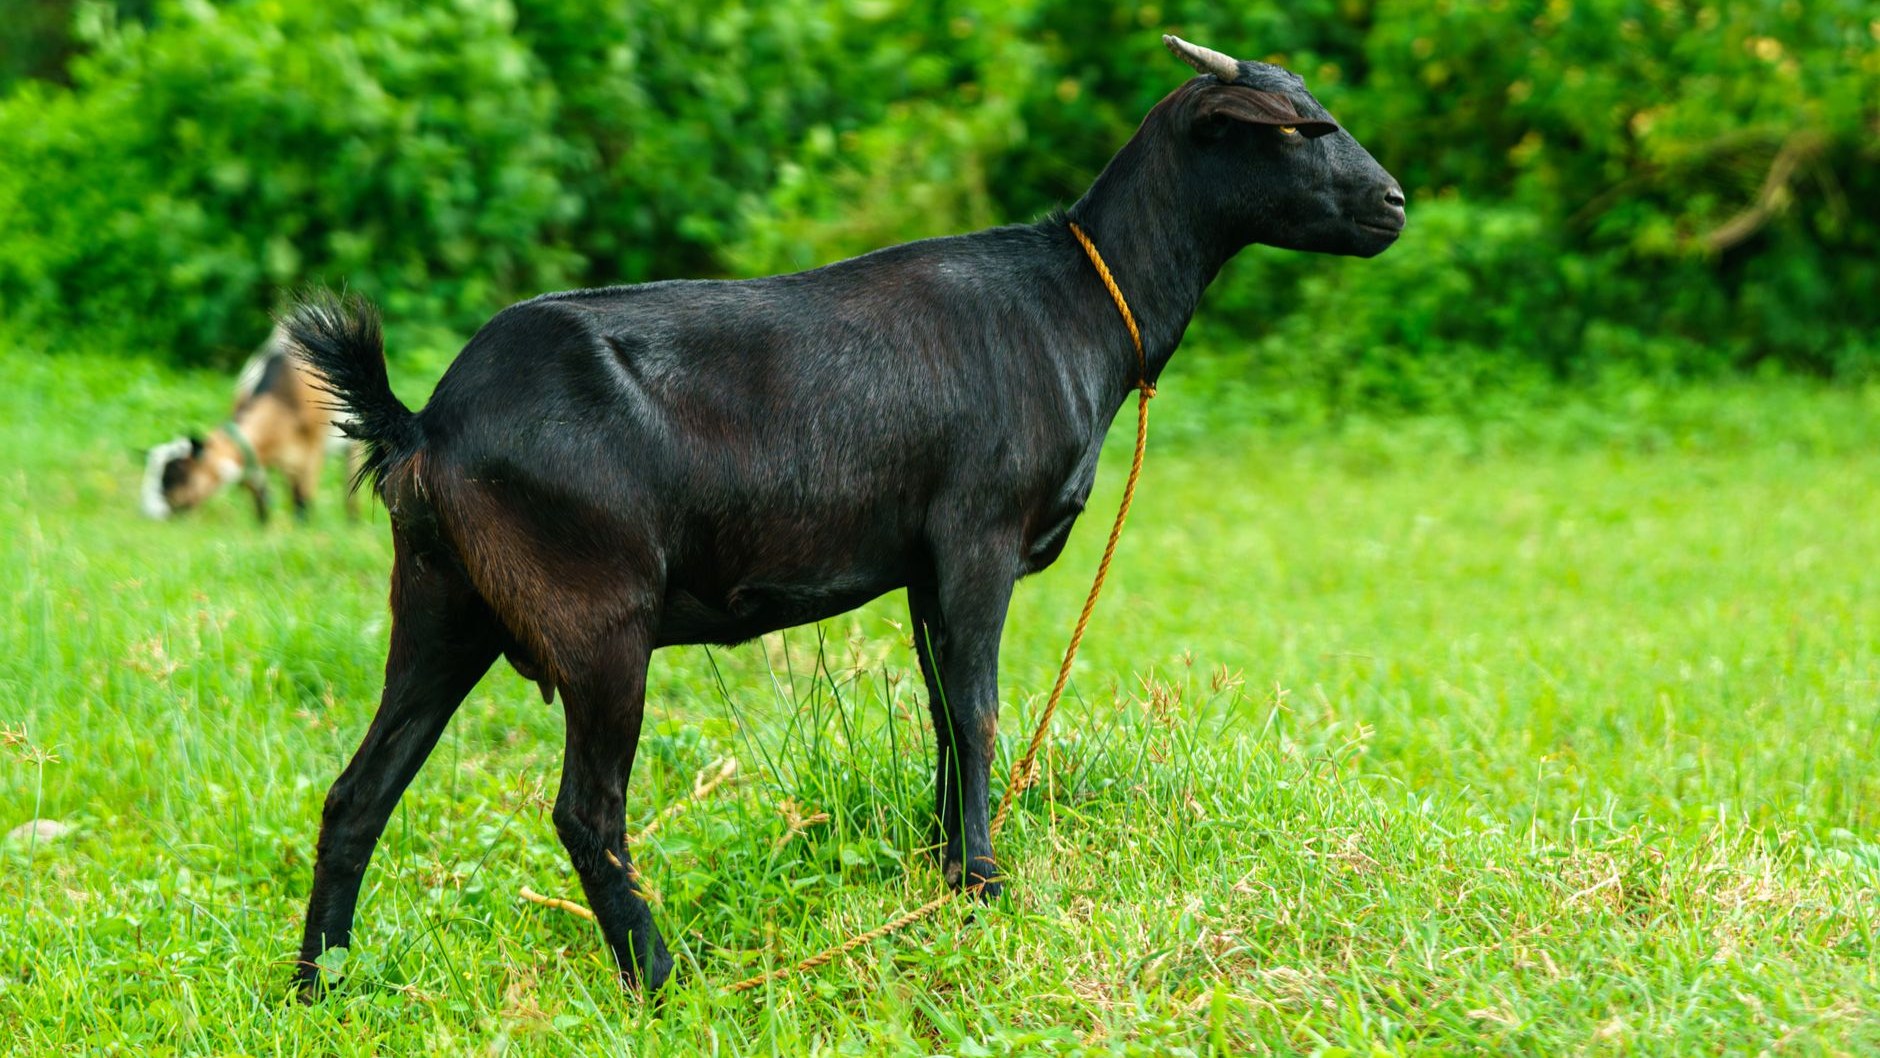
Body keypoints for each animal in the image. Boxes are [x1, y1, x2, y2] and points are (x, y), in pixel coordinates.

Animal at [142, 324, 360, 523]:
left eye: (176, 474)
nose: (150, 513)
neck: (283, 402)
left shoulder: (310, 455)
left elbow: (303, 501)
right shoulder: (253, 457)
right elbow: (260, 495)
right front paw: (263, 526)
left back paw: (353, 522)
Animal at [288, 36, 1405, 997]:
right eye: (1297, 129)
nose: (1393, 203)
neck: (1079, 306)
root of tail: (425, 422)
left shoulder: (922, 561)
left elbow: (945, 713)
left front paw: (942, 869)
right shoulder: (977, 534)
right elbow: (979, 710)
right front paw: (983, 889)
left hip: (442, 601)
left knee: (358, 792)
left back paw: (317, 987)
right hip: (595, 614)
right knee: (585, 811)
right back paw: (662, 979)